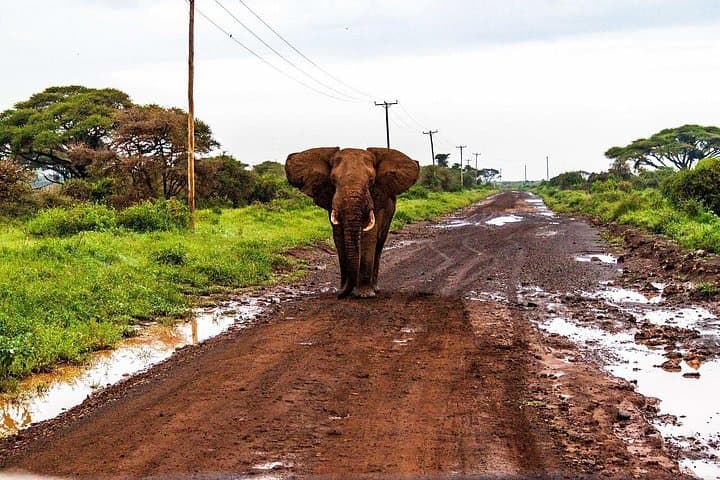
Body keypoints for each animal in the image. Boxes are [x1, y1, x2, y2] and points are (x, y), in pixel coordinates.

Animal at [286, 147, 420, 299]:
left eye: (371, 181)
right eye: (333, 180)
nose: (339, 294)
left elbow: (368, 237)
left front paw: (364, 295)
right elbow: (339, 238)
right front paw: (343, 289)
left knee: (379, 245)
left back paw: (374, 288)